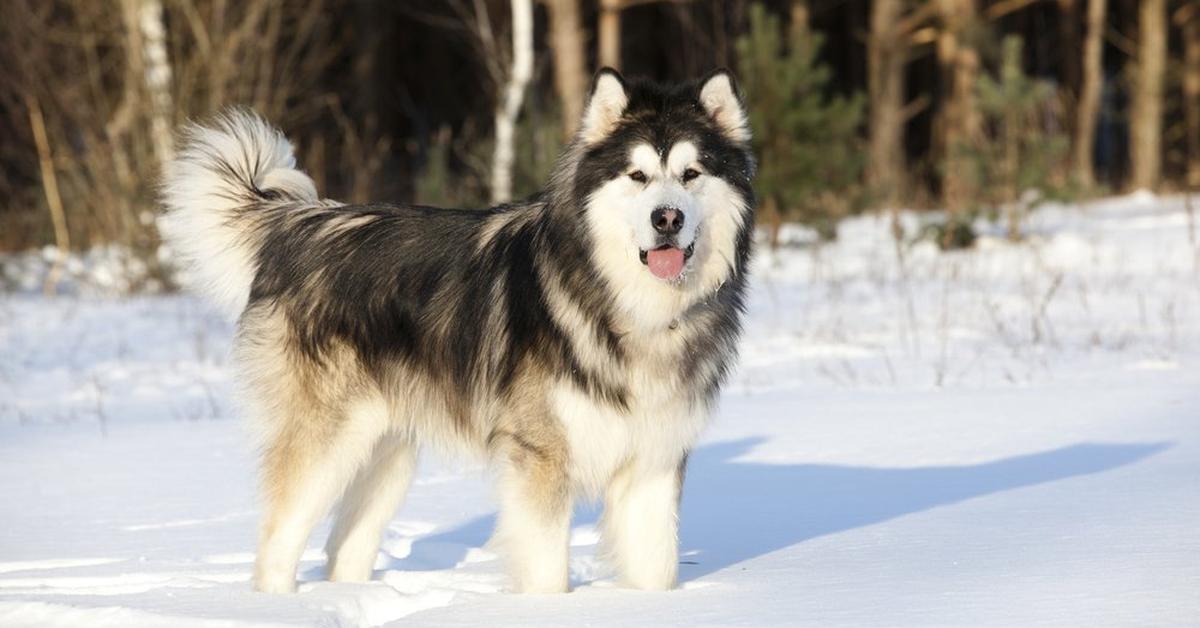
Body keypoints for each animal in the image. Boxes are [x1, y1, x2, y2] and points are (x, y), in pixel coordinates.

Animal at [162, 68, 748, 595]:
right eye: (637, 176)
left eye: (692, 174)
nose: (666, 218)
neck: (632, 307)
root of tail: (302, 225)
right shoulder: (539, 458)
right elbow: (547, 573)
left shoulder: (654, 462)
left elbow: (657, 570)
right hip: (327, 443)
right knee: (278, 545)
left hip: (387, 452)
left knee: (344, 548)